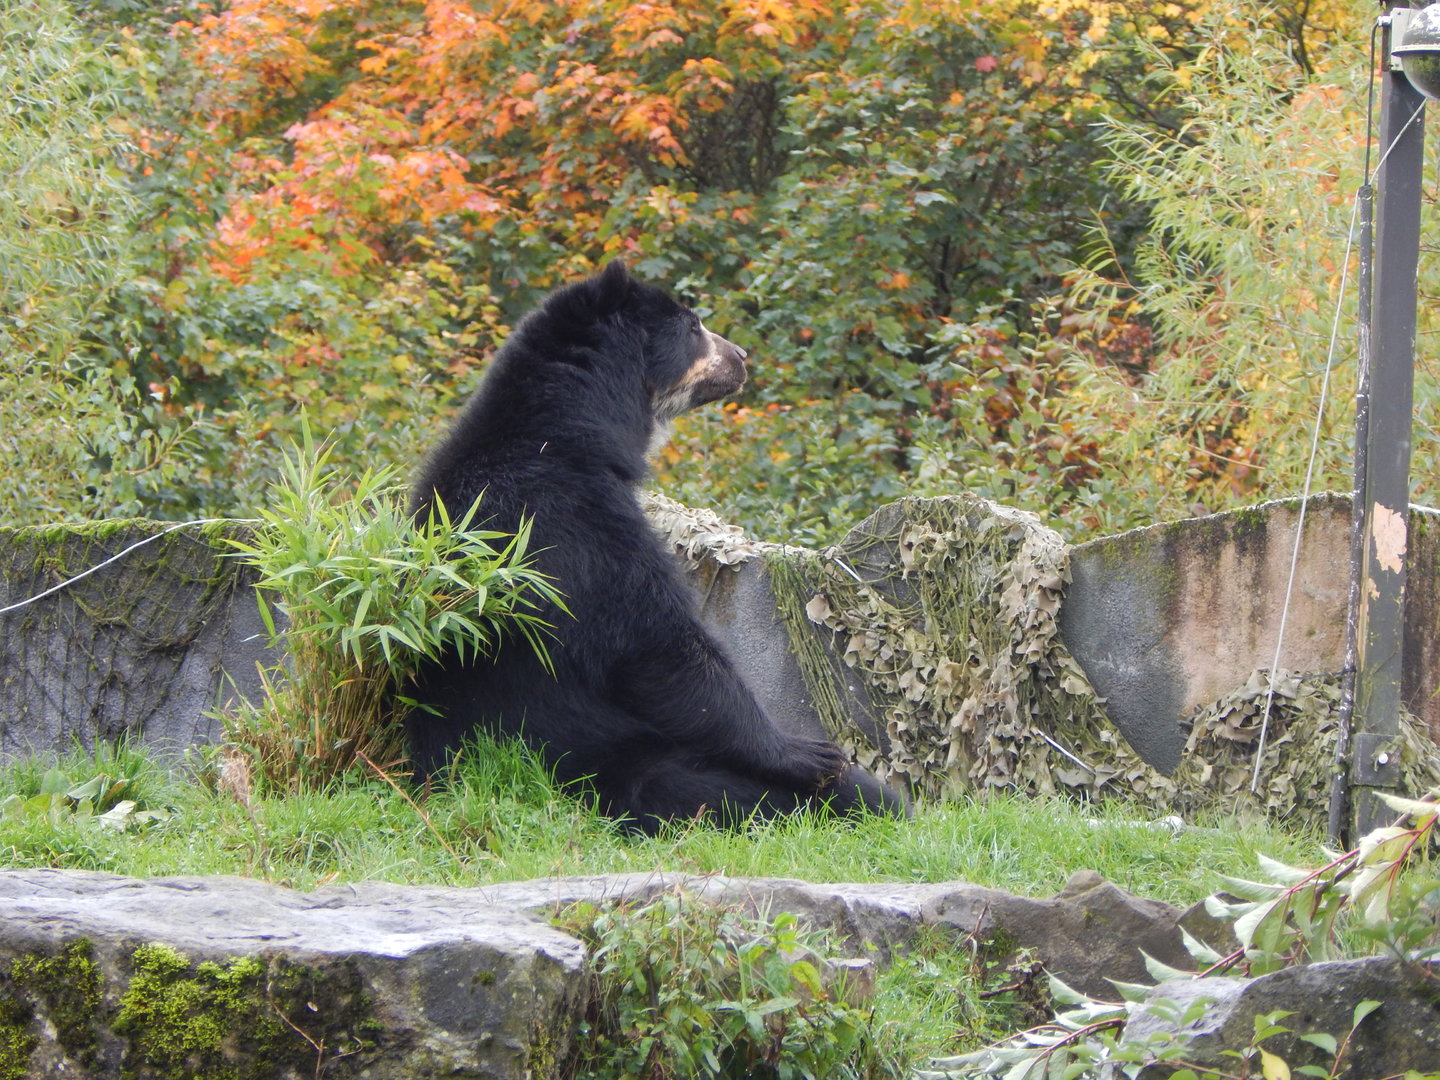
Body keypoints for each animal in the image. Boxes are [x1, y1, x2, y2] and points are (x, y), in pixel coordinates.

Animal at [406, 260, 906, 833]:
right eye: (693, 326)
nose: (741, 356)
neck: (569, 432)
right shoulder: (580, 523)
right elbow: (658, 642)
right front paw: (804, 752)